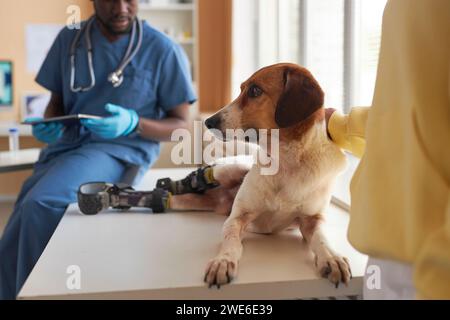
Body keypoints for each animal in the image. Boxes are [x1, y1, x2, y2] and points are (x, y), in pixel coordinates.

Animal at [171, 62, 350, 288]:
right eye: (241, 89)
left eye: (255, 91)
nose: (209, 122)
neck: (285, 162)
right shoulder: (237, 217)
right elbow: (231, 241)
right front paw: (223, 261)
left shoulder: (312, 219)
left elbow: (322, 239)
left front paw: (332, 258)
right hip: (228, 170)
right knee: (196, 181)